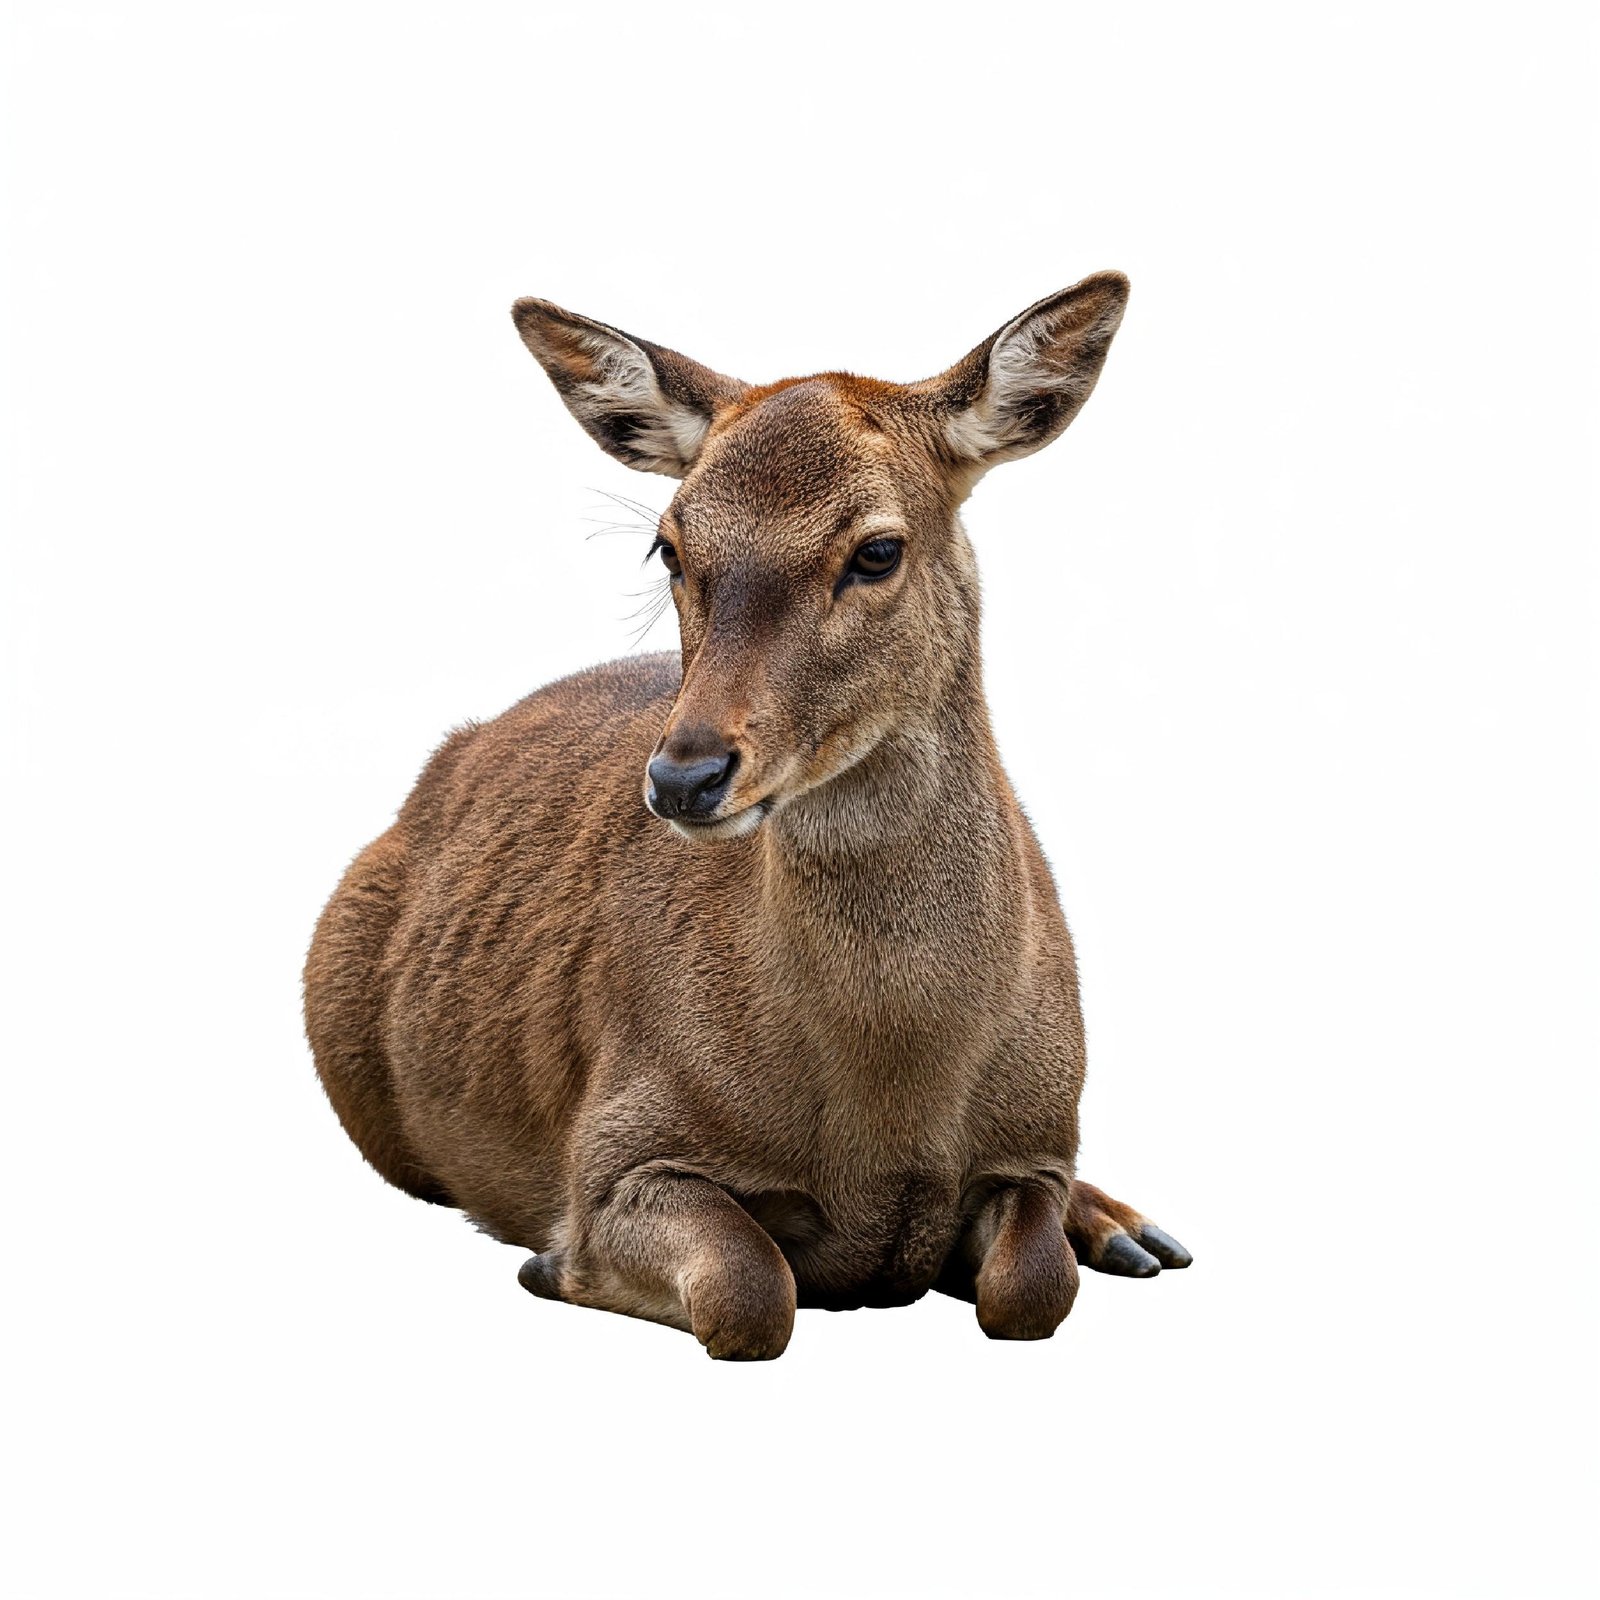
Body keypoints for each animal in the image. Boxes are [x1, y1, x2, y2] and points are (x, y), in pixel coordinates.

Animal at [303, 271, 1191, 1359]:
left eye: (878, 549)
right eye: (668, 545)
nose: (684, 776)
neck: (896, 1098)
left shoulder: (1039, 1139)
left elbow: (1030, 1287)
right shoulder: (619, 1141)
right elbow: (749, 1291)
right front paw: (554, 1265)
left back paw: (1131, 1230)